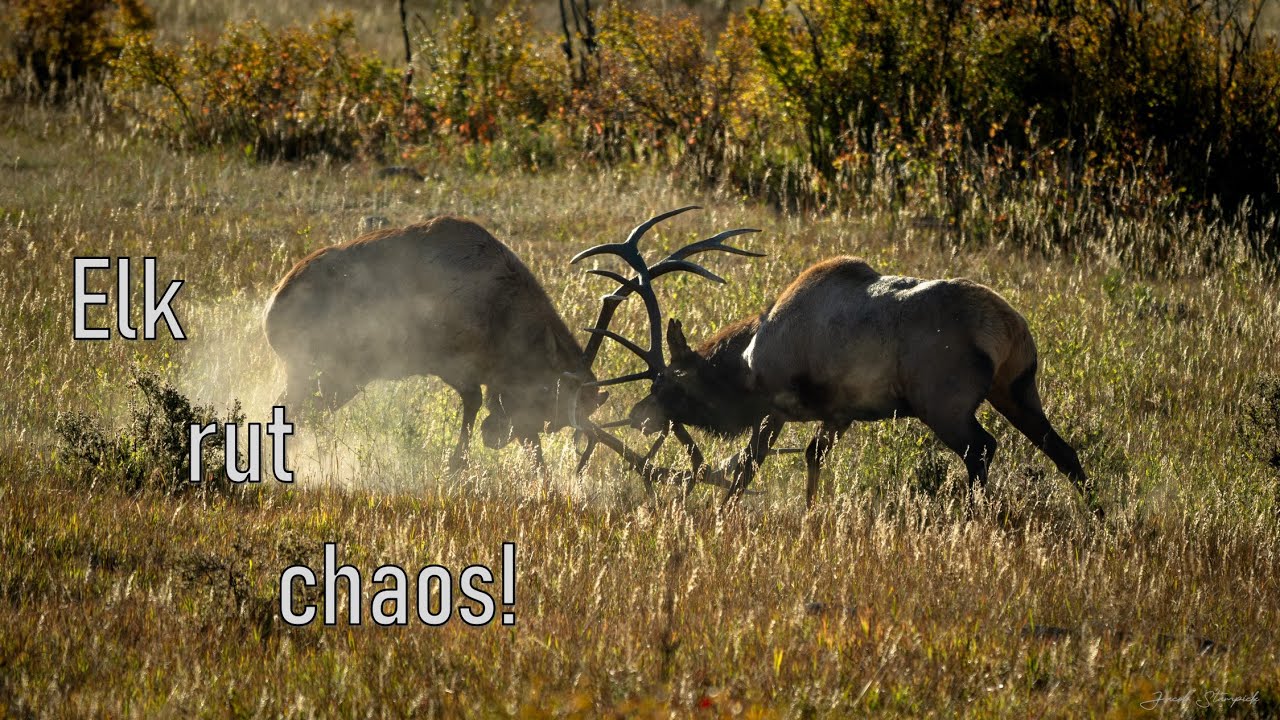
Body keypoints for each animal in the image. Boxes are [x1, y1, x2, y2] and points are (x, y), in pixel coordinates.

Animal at [574, 217, 1096, 514]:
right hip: (1018, 388)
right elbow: (811, 457)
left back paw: (976, 517)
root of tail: (1007, 328)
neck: (746, 363)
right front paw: (809, 515)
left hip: (944, 403)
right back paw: (1099, 518)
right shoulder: (841, 411)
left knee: (982, 449)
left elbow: (748, 465)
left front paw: (723, 515)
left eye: (673, 381)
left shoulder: (780, 403)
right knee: (1064, 452)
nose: (640, 414)